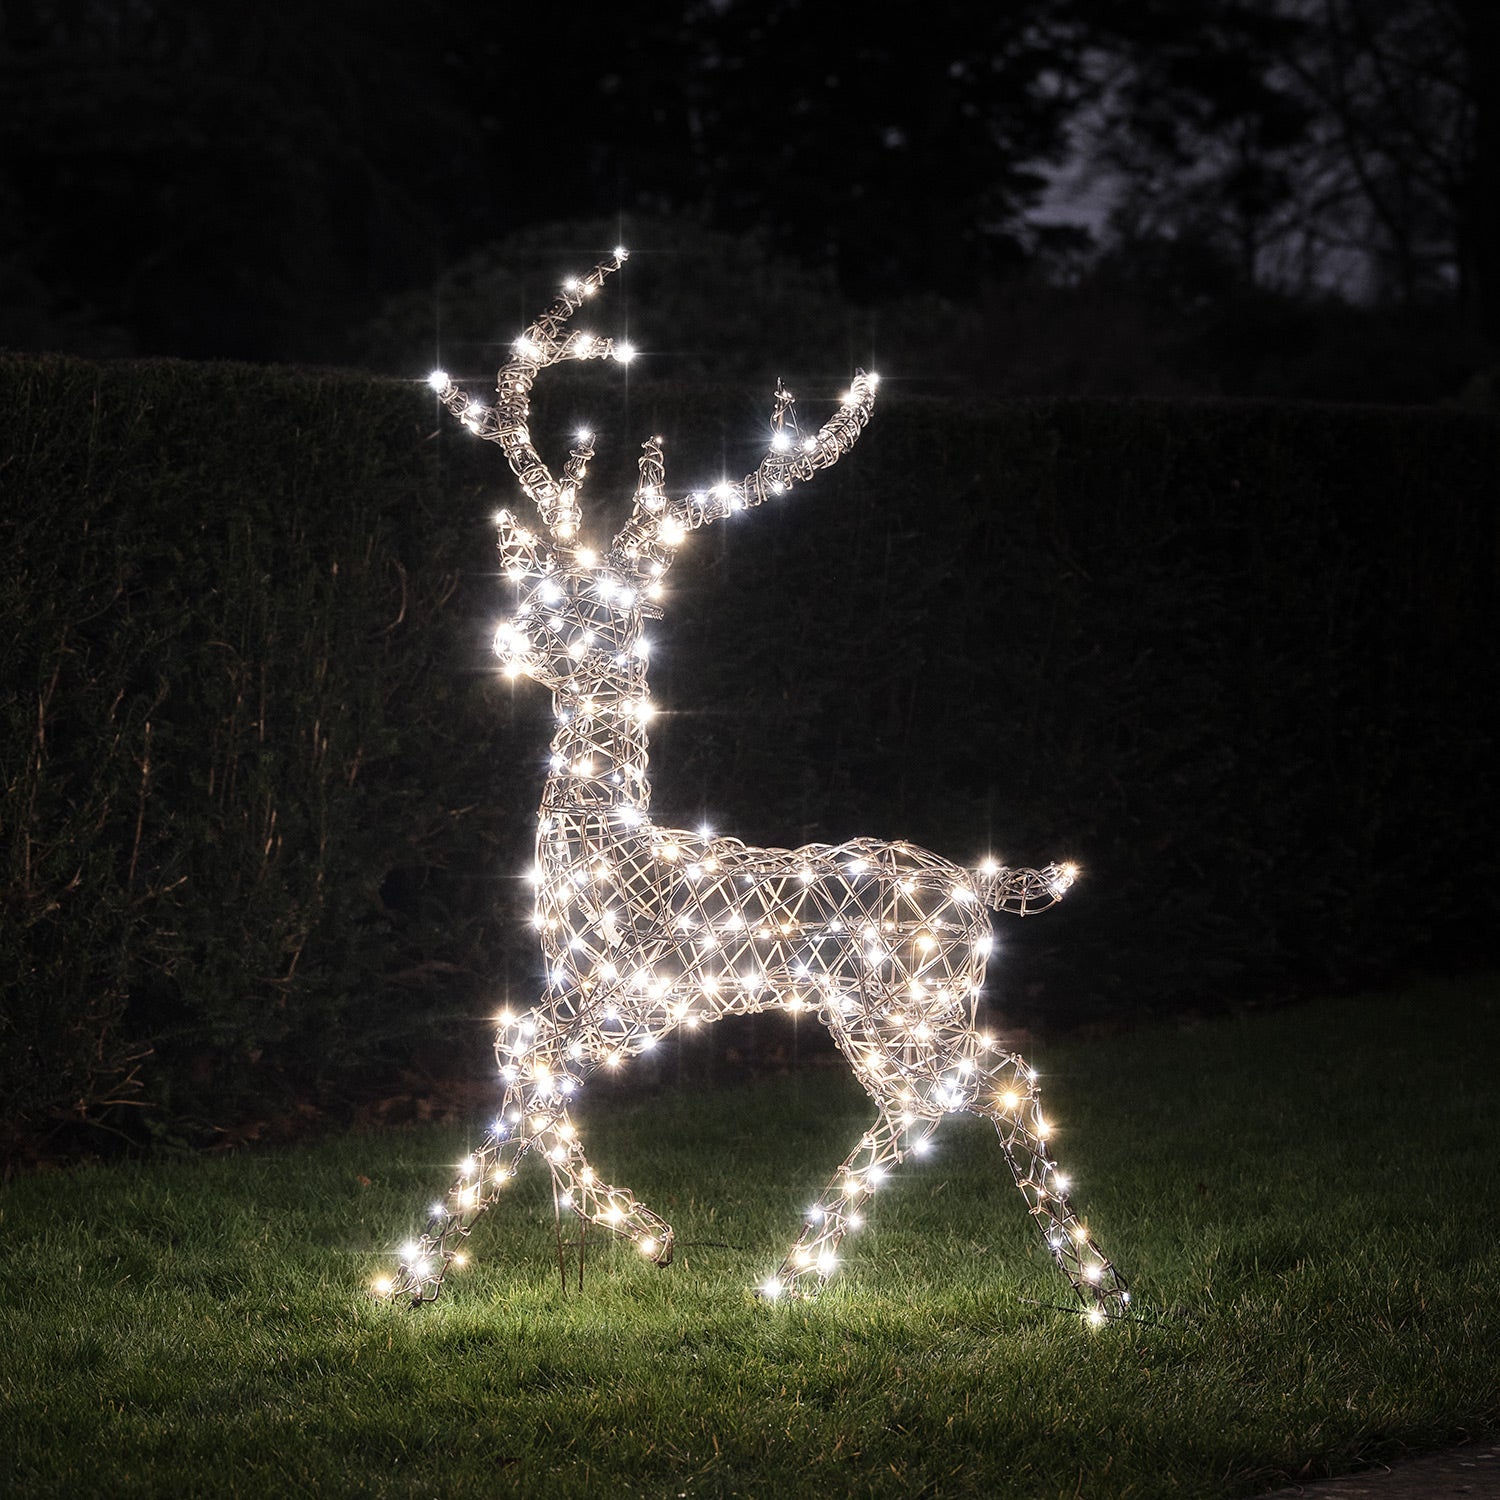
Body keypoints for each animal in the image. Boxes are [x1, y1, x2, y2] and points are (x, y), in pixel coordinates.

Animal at [377, 248, 1130, 1323]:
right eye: (544, 590)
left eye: (589, 609)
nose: (512, 642)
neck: (599, 843)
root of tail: (984, 887)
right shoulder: (604, 1007)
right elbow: (524, 1081)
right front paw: (619, 1240)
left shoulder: (614, 998)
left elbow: (522, 1075)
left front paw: (445, 1265)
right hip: (892, 1013)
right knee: (964, 1091)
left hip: (906, 1005)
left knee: (982, 1084)